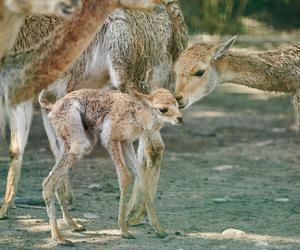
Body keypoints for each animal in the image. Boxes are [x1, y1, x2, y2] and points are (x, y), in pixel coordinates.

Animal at [41, 88, 183, 246]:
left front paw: (159, 230)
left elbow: (140, 174)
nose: (180, 118)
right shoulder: (110, 139)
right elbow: (125, 176)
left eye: (178, 105)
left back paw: (73, 225)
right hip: (79, 142)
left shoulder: (126, 141)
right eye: (163, 109)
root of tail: (53, 107)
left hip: (73, 141)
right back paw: (59, 238)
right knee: (48, 183)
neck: (137, 114)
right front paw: (124, 230)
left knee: (57, 181)